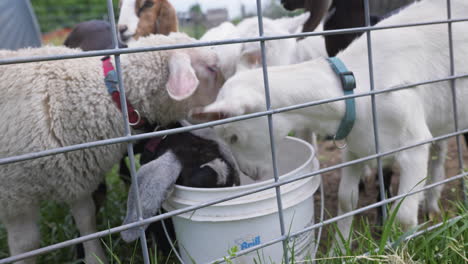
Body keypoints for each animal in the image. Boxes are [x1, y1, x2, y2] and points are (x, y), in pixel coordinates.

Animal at [0, 33, 225, 264]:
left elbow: (86, 220)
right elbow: (27, 245)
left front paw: (94, 257)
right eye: (212, 68)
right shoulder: (14, 196)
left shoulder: (74, 177)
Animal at [192, 0, 468, 252]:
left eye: (234, 137)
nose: (249, 173)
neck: (355, 86)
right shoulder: (357, 148)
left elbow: (404, 216)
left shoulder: (413, 144)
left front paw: (402, 251)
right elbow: (347, 200)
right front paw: (340, 249)